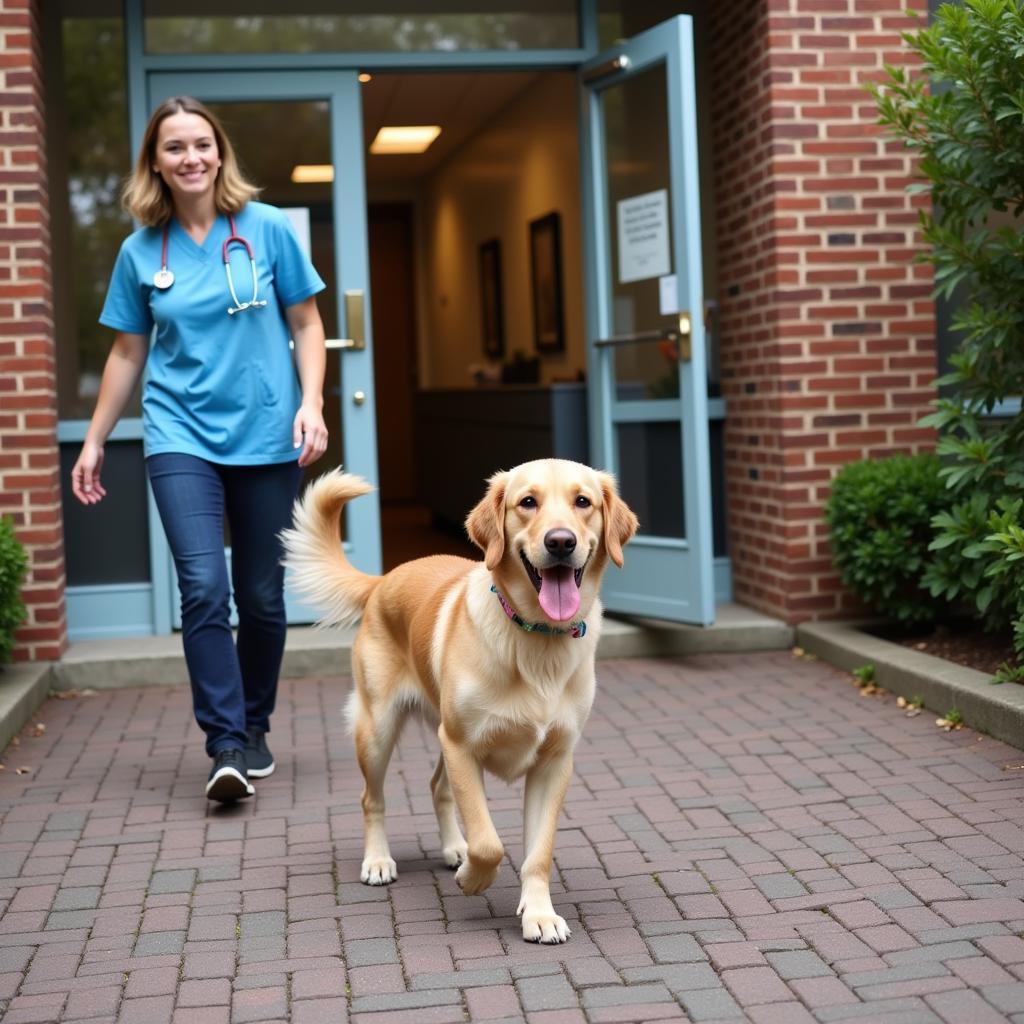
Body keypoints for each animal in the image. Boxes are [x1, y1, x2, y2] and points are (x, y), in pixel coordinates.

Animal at [280, 460, 630, 937]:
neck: (536, 638)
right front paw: (474, 879)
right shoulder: (463, 746)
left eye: (582, 502)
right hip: (378, 729)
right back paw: (378, 860)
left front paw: (539, 914)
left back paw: (452, 848)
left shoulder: (554, 762)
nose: (561, 541)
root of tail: (384, 579)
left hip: (441, 732)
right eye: (528, 502)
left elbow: (537, 853)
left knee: (436, 787)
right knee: (372, 798)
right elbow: (488, 841)